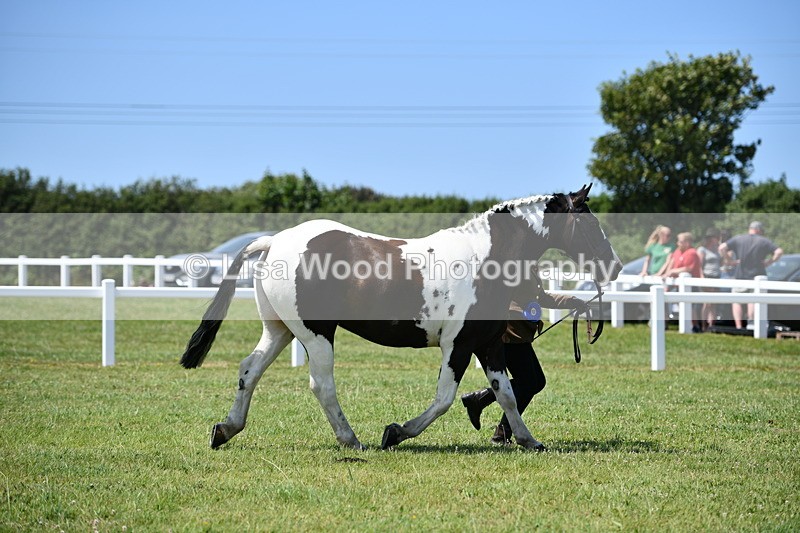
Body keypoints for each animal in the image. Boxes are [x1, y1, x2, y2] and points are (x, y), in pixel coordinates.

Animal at [180, 184, 622, 451]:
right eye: (589, 222)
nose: (615, 266)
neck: (485, 260)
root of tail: (275, 241)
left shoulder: (489, 345)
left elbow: (508, 395)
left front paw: (529, 441)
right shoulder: (458, 345)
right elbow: (444, 399)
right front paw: (395, 433)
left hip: (280, 330)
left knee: (249, 369)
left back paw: (225, 429)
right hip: (316, 334)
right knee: (321, 384)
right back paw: (351, 440)